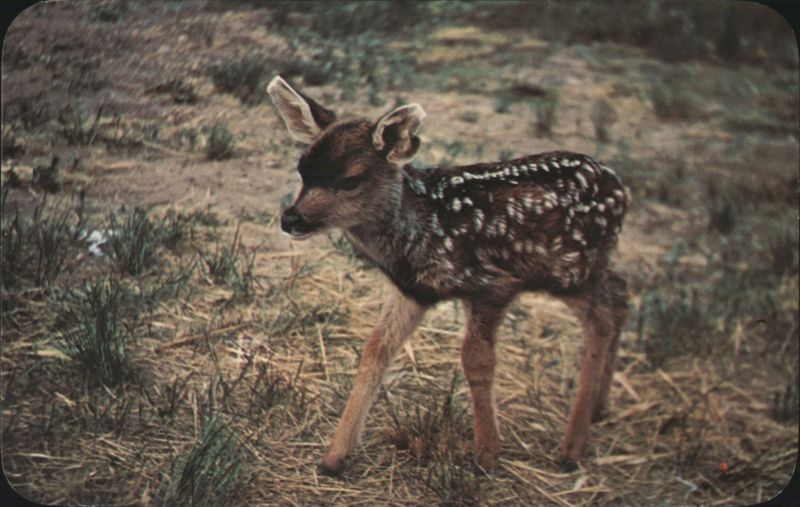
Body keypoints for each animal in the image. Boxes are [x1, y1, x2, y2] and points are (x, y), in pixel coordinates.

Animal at [267, 76, 629, 476]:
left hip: (568, 268)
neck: (423, 229)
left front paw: (487, 455)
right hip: (583, 268)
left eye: (349, 180)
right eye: (302, 170)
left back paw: (571, 448)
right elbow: (375, 350)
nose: (291, 219)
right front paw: (333, 457)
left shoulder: (491, 285)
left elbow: (476, 360)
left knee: (602, 317)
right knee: (620, 292)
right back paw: (598, 410)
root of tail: (620, 189)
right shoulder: (412, 291)